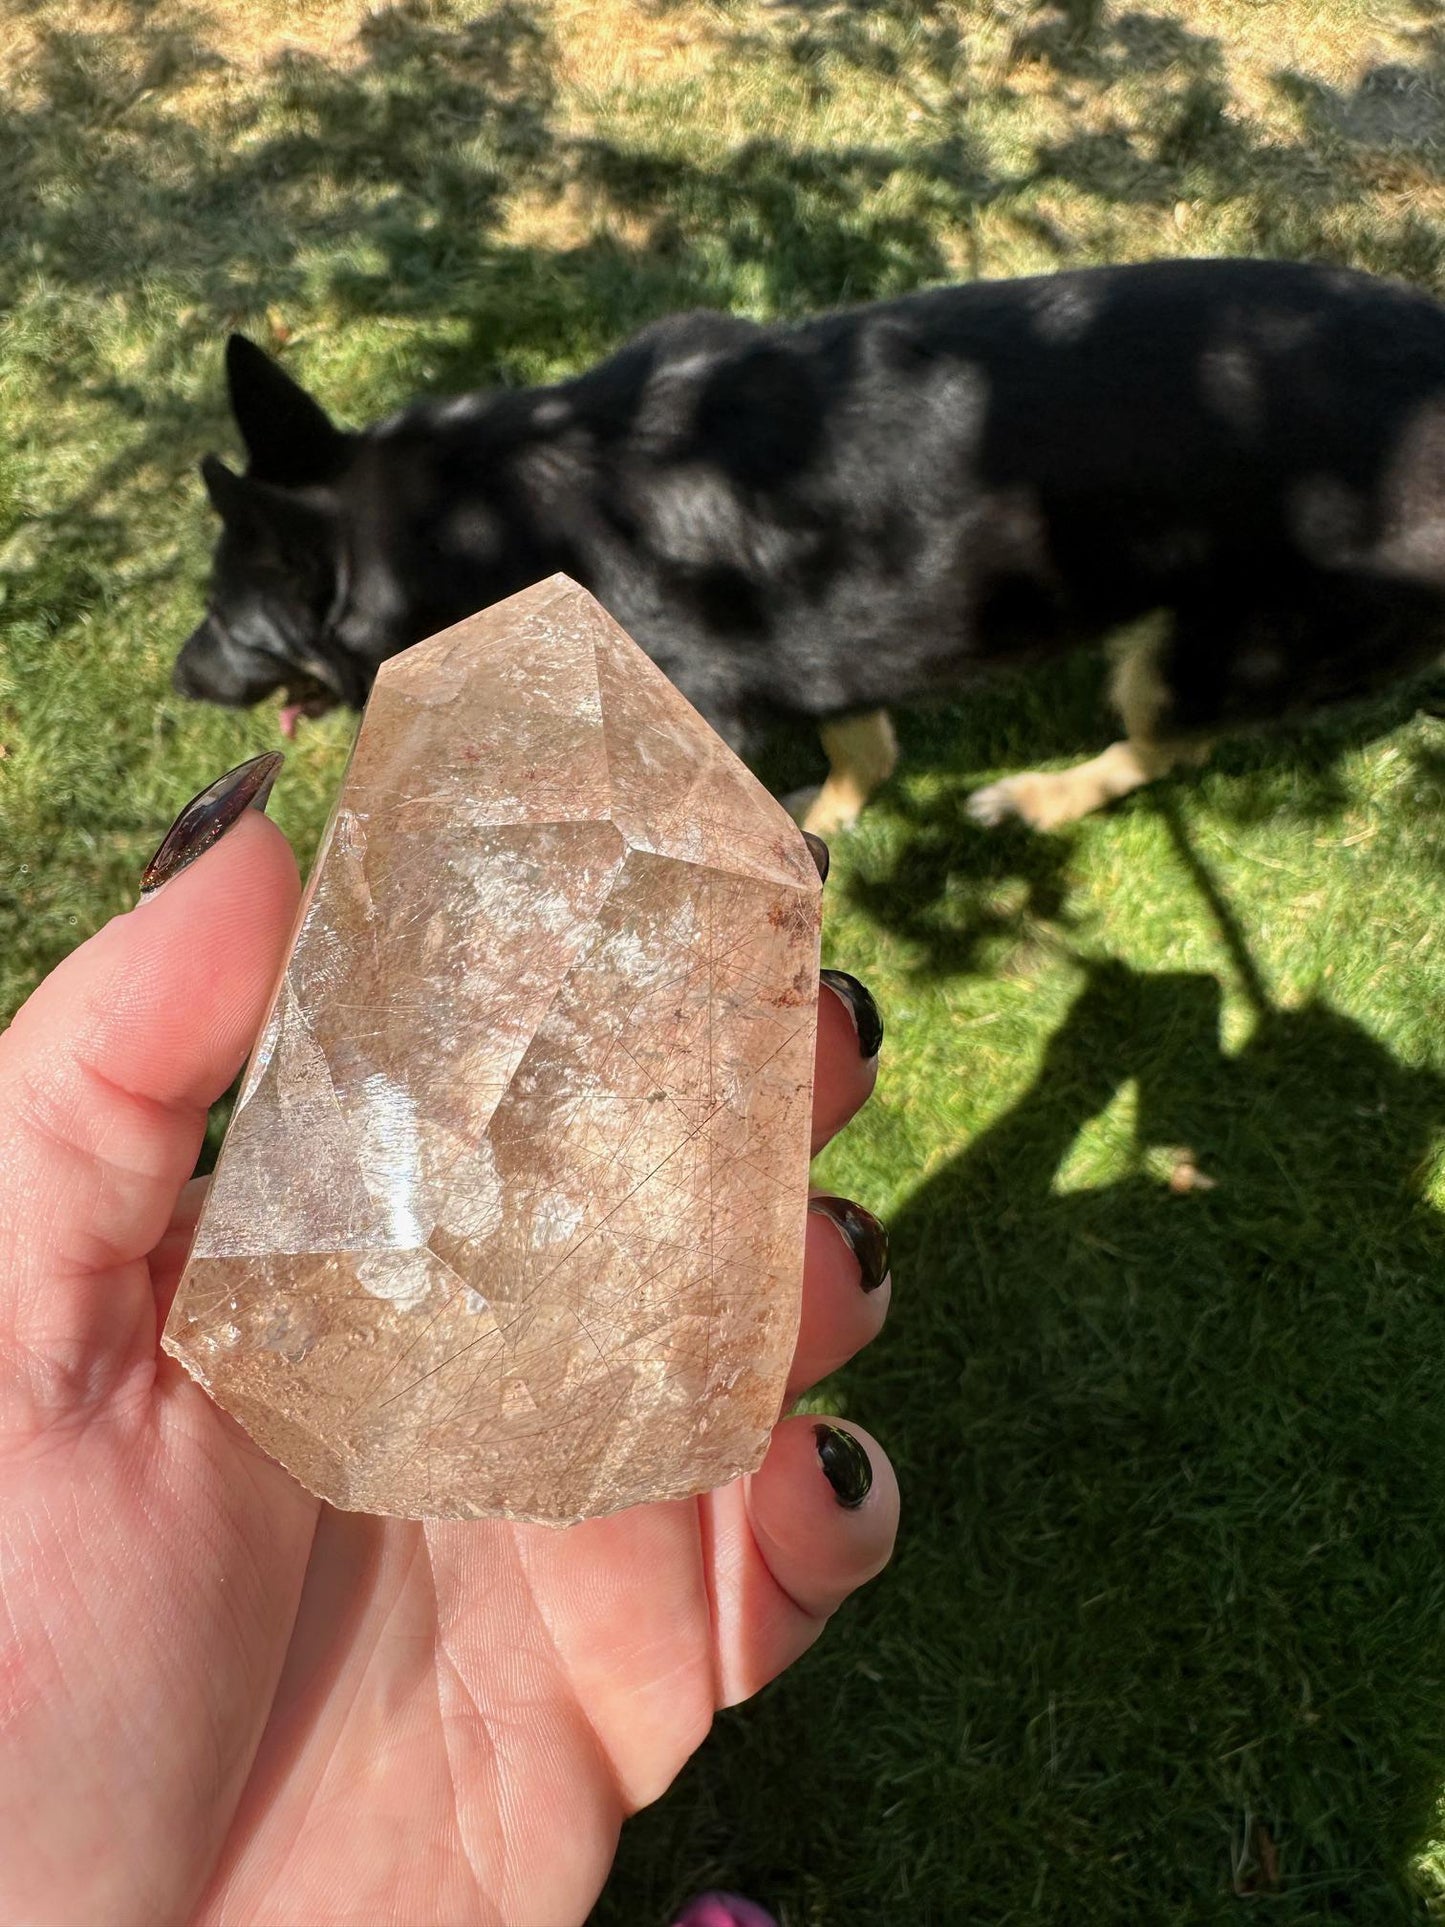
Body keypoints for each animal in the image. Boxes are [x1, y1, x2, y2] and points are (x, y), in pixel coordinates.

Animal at [178, 260, 1445, 832]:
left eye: (230, 622)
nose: (181, 675)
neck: (476, 517)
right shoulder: (831, 649)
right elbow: (860, 745)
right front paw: (828, 817)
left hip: (1200, 653)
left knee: (1158, 745)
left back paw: (1039, 798)